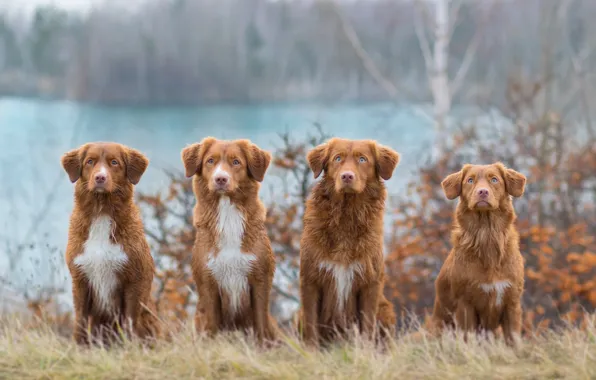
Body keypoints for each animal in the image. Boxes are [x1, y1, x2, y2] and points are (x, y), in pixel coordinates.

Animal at [60, 142, 161, 344]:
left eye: (114, 162)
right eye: (90, 161)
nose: (100, 177)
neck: (102, 212)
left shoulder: (134, 279)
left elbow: (130, 321)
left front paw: (130, 346)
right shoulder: (80, 278)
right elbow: (81, 320)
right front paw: (78, 346)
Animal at [182, 137, 278, 344]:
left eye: (236, 162)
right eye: (210, 161)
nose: (220, 179)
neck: (228, 214)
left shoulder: (260, 279)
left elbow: (260, 324)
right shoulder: (208, 282)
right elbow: (211, 325)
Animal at [298, 138, 400, 346]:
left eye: (362, 159)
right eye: (337, 158)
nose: (347, 176)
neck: (346, 214)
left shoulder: (370, 283)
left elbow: (367, 326)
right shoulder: (310, 280)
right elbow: (311, 326)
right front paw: (311, 351)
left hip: (386, 310)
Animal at [430, 162, 528, 346]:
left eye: (494, 179)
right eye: (470, 180)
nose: (482, 192)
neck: (486, 234)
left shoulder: (512, 302)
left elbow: (513, 339)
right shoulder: (465, 304)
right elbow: (468, 338)